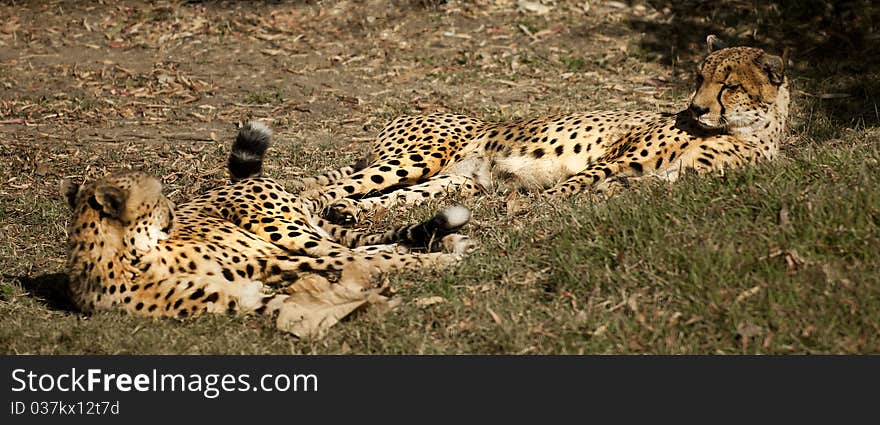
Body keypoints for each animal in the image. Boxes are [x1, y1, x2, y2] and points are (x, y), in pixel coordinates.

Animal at [60, 122, 474, 318]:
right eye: (155, 196)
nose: (173, 211)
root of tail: (250, 179)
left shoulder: (268, 260)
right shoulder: (247, 286)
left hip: (286, 230)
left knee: (364, 247)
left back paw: (449, 245)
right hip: (294, 238)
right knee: (368, 248)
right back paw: (445, 245)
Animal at [312, 36, 796, 224]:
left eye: (729, 85)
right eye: (699, 78)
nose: (695, 108)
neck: (746, 131)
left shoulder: (675, 179)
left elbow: (627, 188)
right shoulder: (617, 157)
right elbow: (574, 183)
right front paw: (538, 206)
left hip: (454, 184)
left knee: (388, 199)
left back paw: (349, 214)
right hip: (419, 157)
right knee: (321, 188)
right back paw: (316, 209)